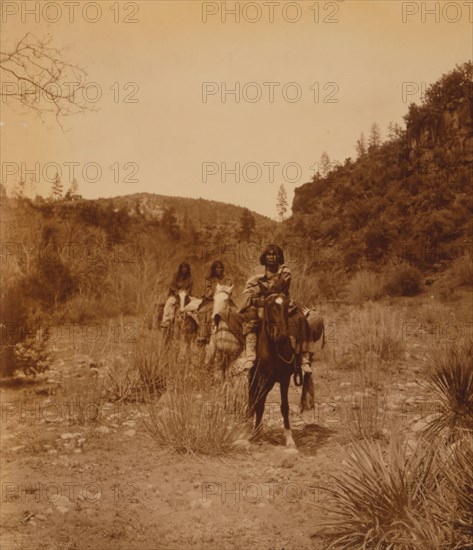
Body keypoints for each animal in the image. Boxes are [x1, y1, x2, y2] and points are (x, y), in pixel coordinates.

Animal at [245, 294, 296, 448]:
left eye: (286, 307)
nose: (282, 336)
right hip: (255, 381)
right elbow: (258, 404)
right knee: (253, 400)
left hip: (269, 383)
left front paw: (289, 438)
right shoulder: (261, 378)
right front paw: (254, 434)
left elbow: (284, 406)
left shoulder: (285, 378)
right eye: (269, 306)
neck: (273, 350)